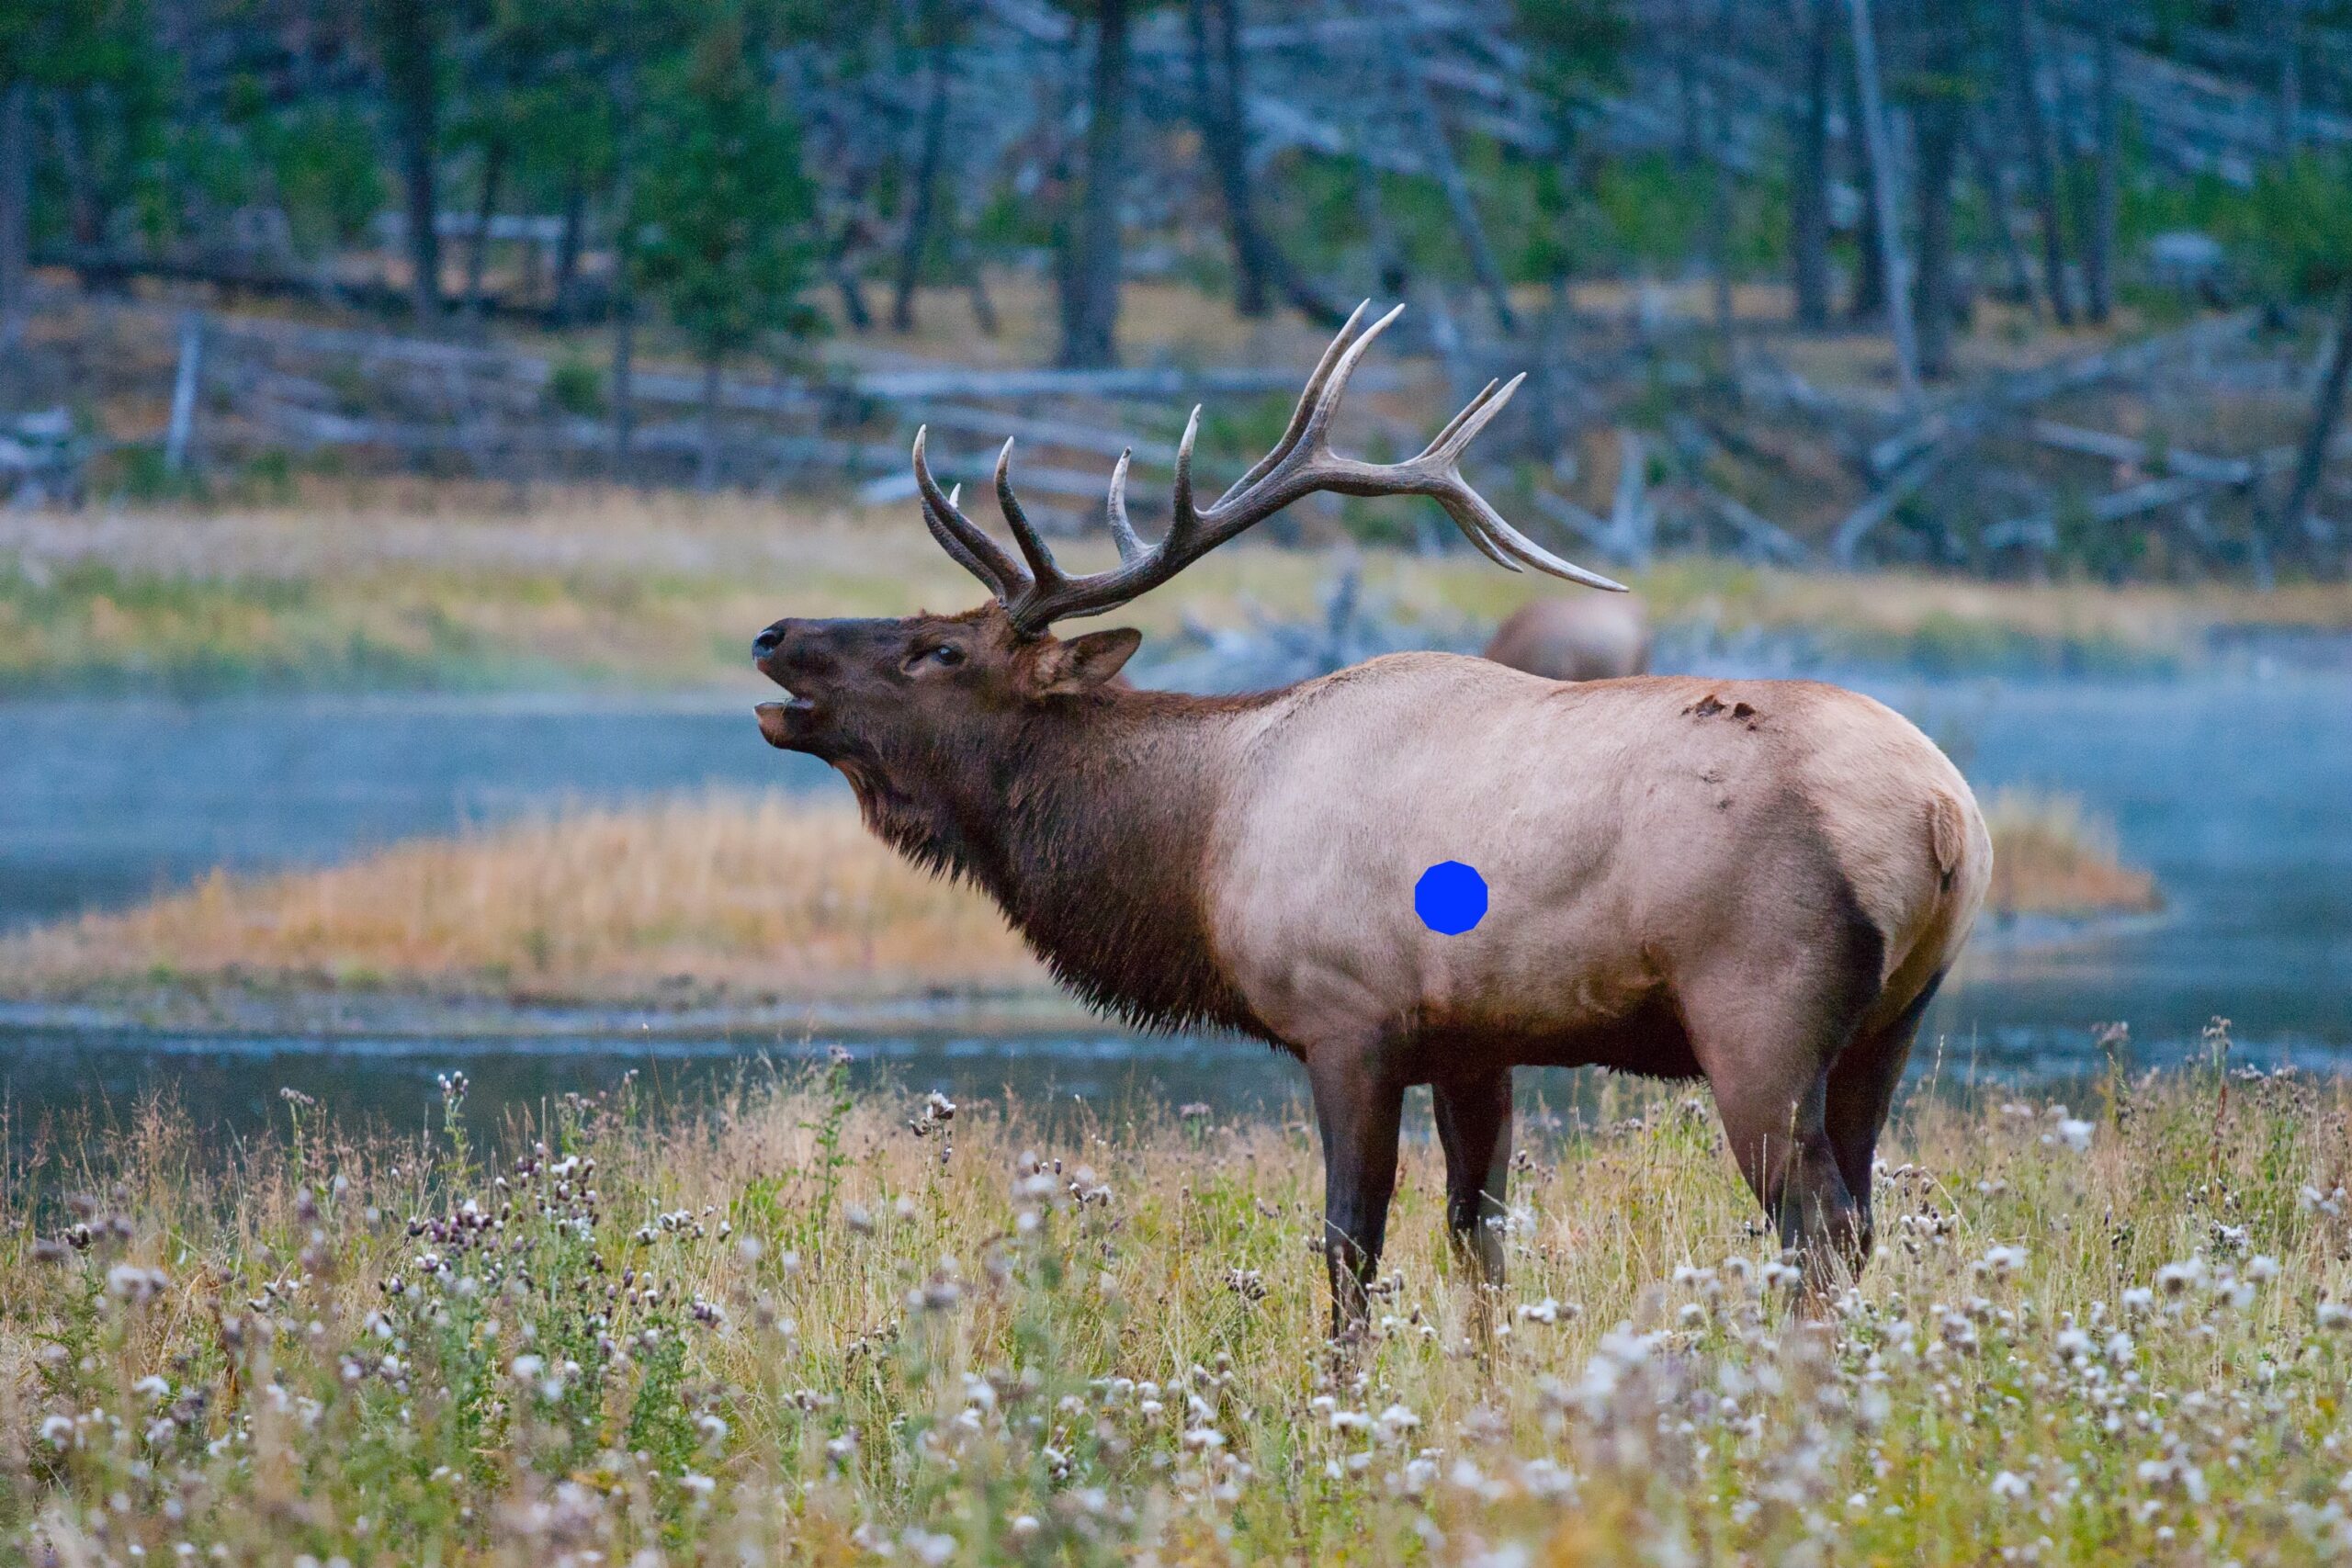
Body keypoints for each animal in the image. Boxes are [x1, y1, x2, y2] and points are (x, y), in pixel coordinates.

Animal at [757, 305, 1984, 1335]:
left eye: (939, 651)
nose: (774, 634)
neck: (1197, 848)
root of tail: (1944, 814)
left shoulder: (1346, 1021)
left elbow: (1351, 1248)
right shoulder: (1476, 1042)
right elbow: (1479, 1239)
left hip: (1758, 1015)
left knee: (1816, 1230)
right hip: (1891, 1024)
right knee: (1858, 1223)